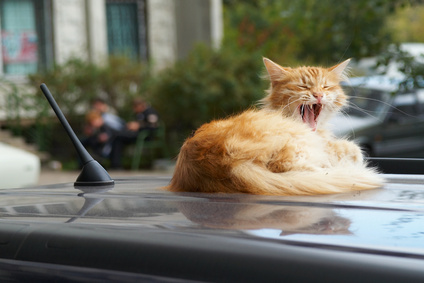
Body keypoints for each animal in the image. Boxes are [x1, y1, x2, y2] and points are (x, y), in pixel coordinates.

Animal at [166, 57, 384, 195]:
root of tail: (226, 164)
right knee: (287, 166)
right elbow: (350, 149)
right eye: (303, 86)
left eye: (326, 86)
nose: (319, 94)